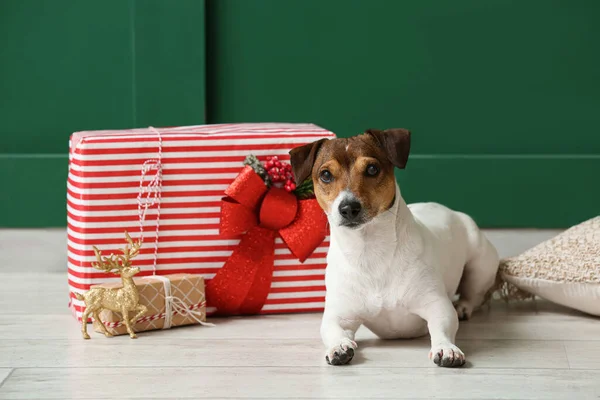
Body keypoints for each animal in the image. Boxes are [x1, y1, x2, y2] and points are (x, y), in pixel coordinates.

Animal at [288, 130, 500, 368]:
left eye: (372, 169)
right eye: (325, 174)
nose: (348, 207)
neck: (369, 250)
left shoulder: (436, 305)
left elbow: (442, 326)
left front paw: (446, 348)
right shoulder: (338, 315)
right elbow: (332, 330)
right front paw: (338, 347)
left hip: (481, 265)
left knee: (474, 294)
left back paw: (464, 307)